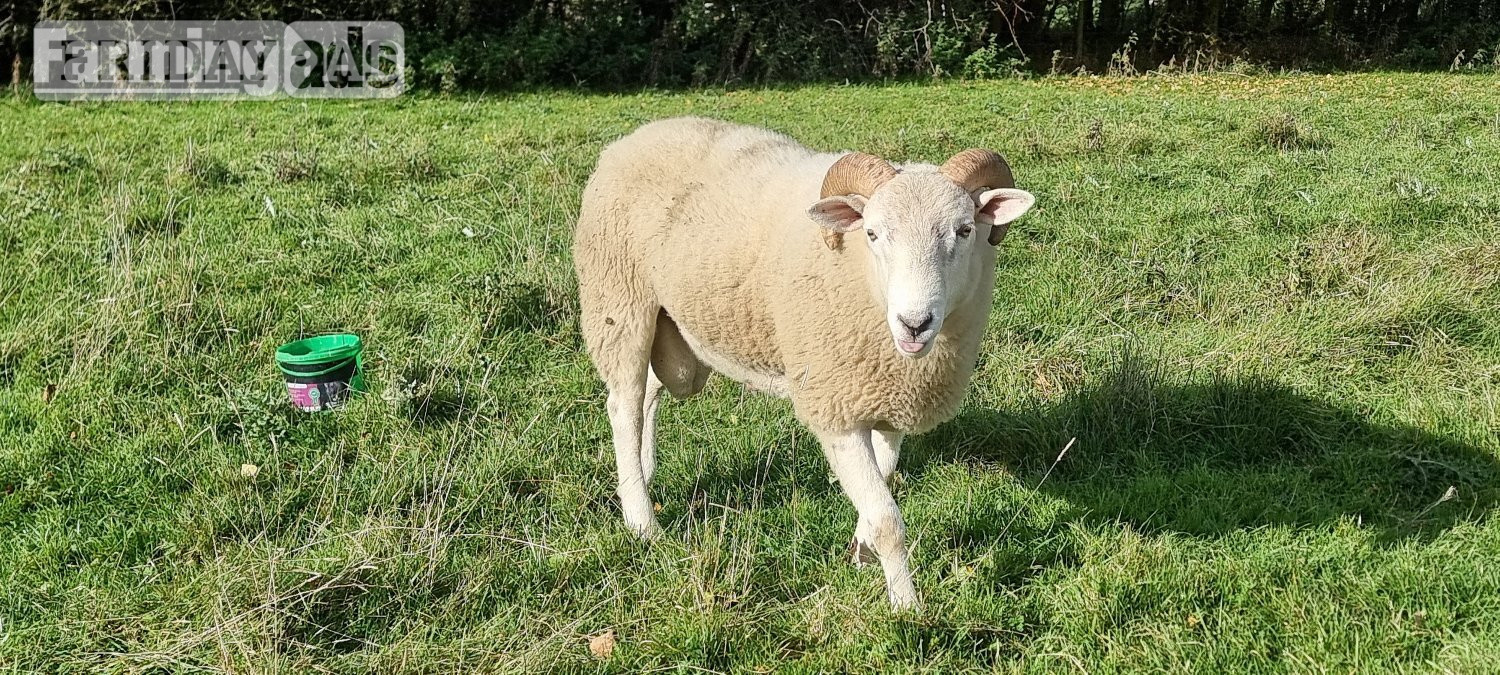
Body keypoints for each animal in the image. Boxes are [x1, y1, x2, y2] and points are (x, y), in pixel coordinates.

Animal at [572, 116, 1036, 610]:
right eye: (873, 234)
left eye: (965, 230)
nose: (915, 324)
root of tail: (633, 138)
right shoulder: (835, 407)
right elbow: (888, 520)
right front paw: (907, 606)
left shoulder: (890, 397)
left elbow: (884, 481)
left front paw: (861, 550)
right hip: (619, 302)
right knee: (624, 406)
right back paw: (642, 521)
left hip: (674, 330)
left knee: (649, 396)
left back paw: (641, 475)